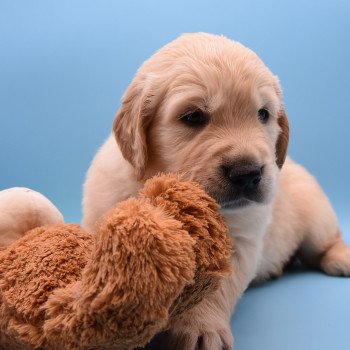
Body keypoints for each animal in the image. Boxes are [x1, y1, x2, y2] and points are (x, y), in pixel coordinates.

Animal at [82, 32, 350, 348]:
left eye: (263, 114)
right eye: (193, 116)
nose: (248, 173)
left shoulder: (238, 242)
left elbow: (211, 288)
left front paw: (200, 327)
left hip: (317, 217)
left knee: (326, 242)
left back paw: (340, 258)